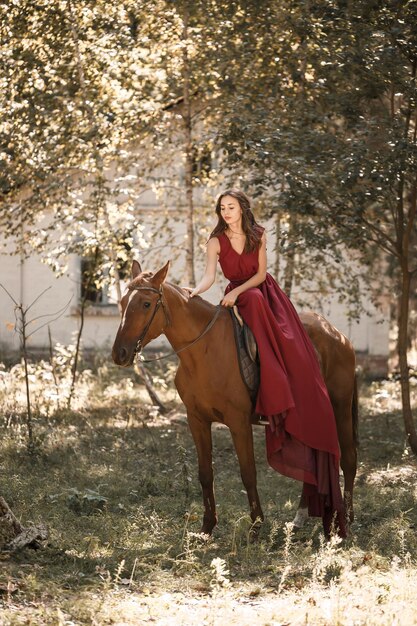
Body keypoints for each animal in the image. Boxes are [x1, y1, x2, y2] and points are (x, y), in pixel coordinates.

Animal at [112, 258, 356, 532]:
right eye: (123, 302)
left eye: (146, 303)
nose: (120, 353)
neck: (204, 351)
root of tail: (337, 335)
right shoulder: (196, 420)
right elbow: (205, 473)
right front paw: (207, 527)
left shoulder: (238, 422)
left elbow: (248, 473)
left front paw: (257, 526)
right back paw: (300, 517)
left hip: (340, 408)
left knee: (348, 458)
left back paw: (346, 519)